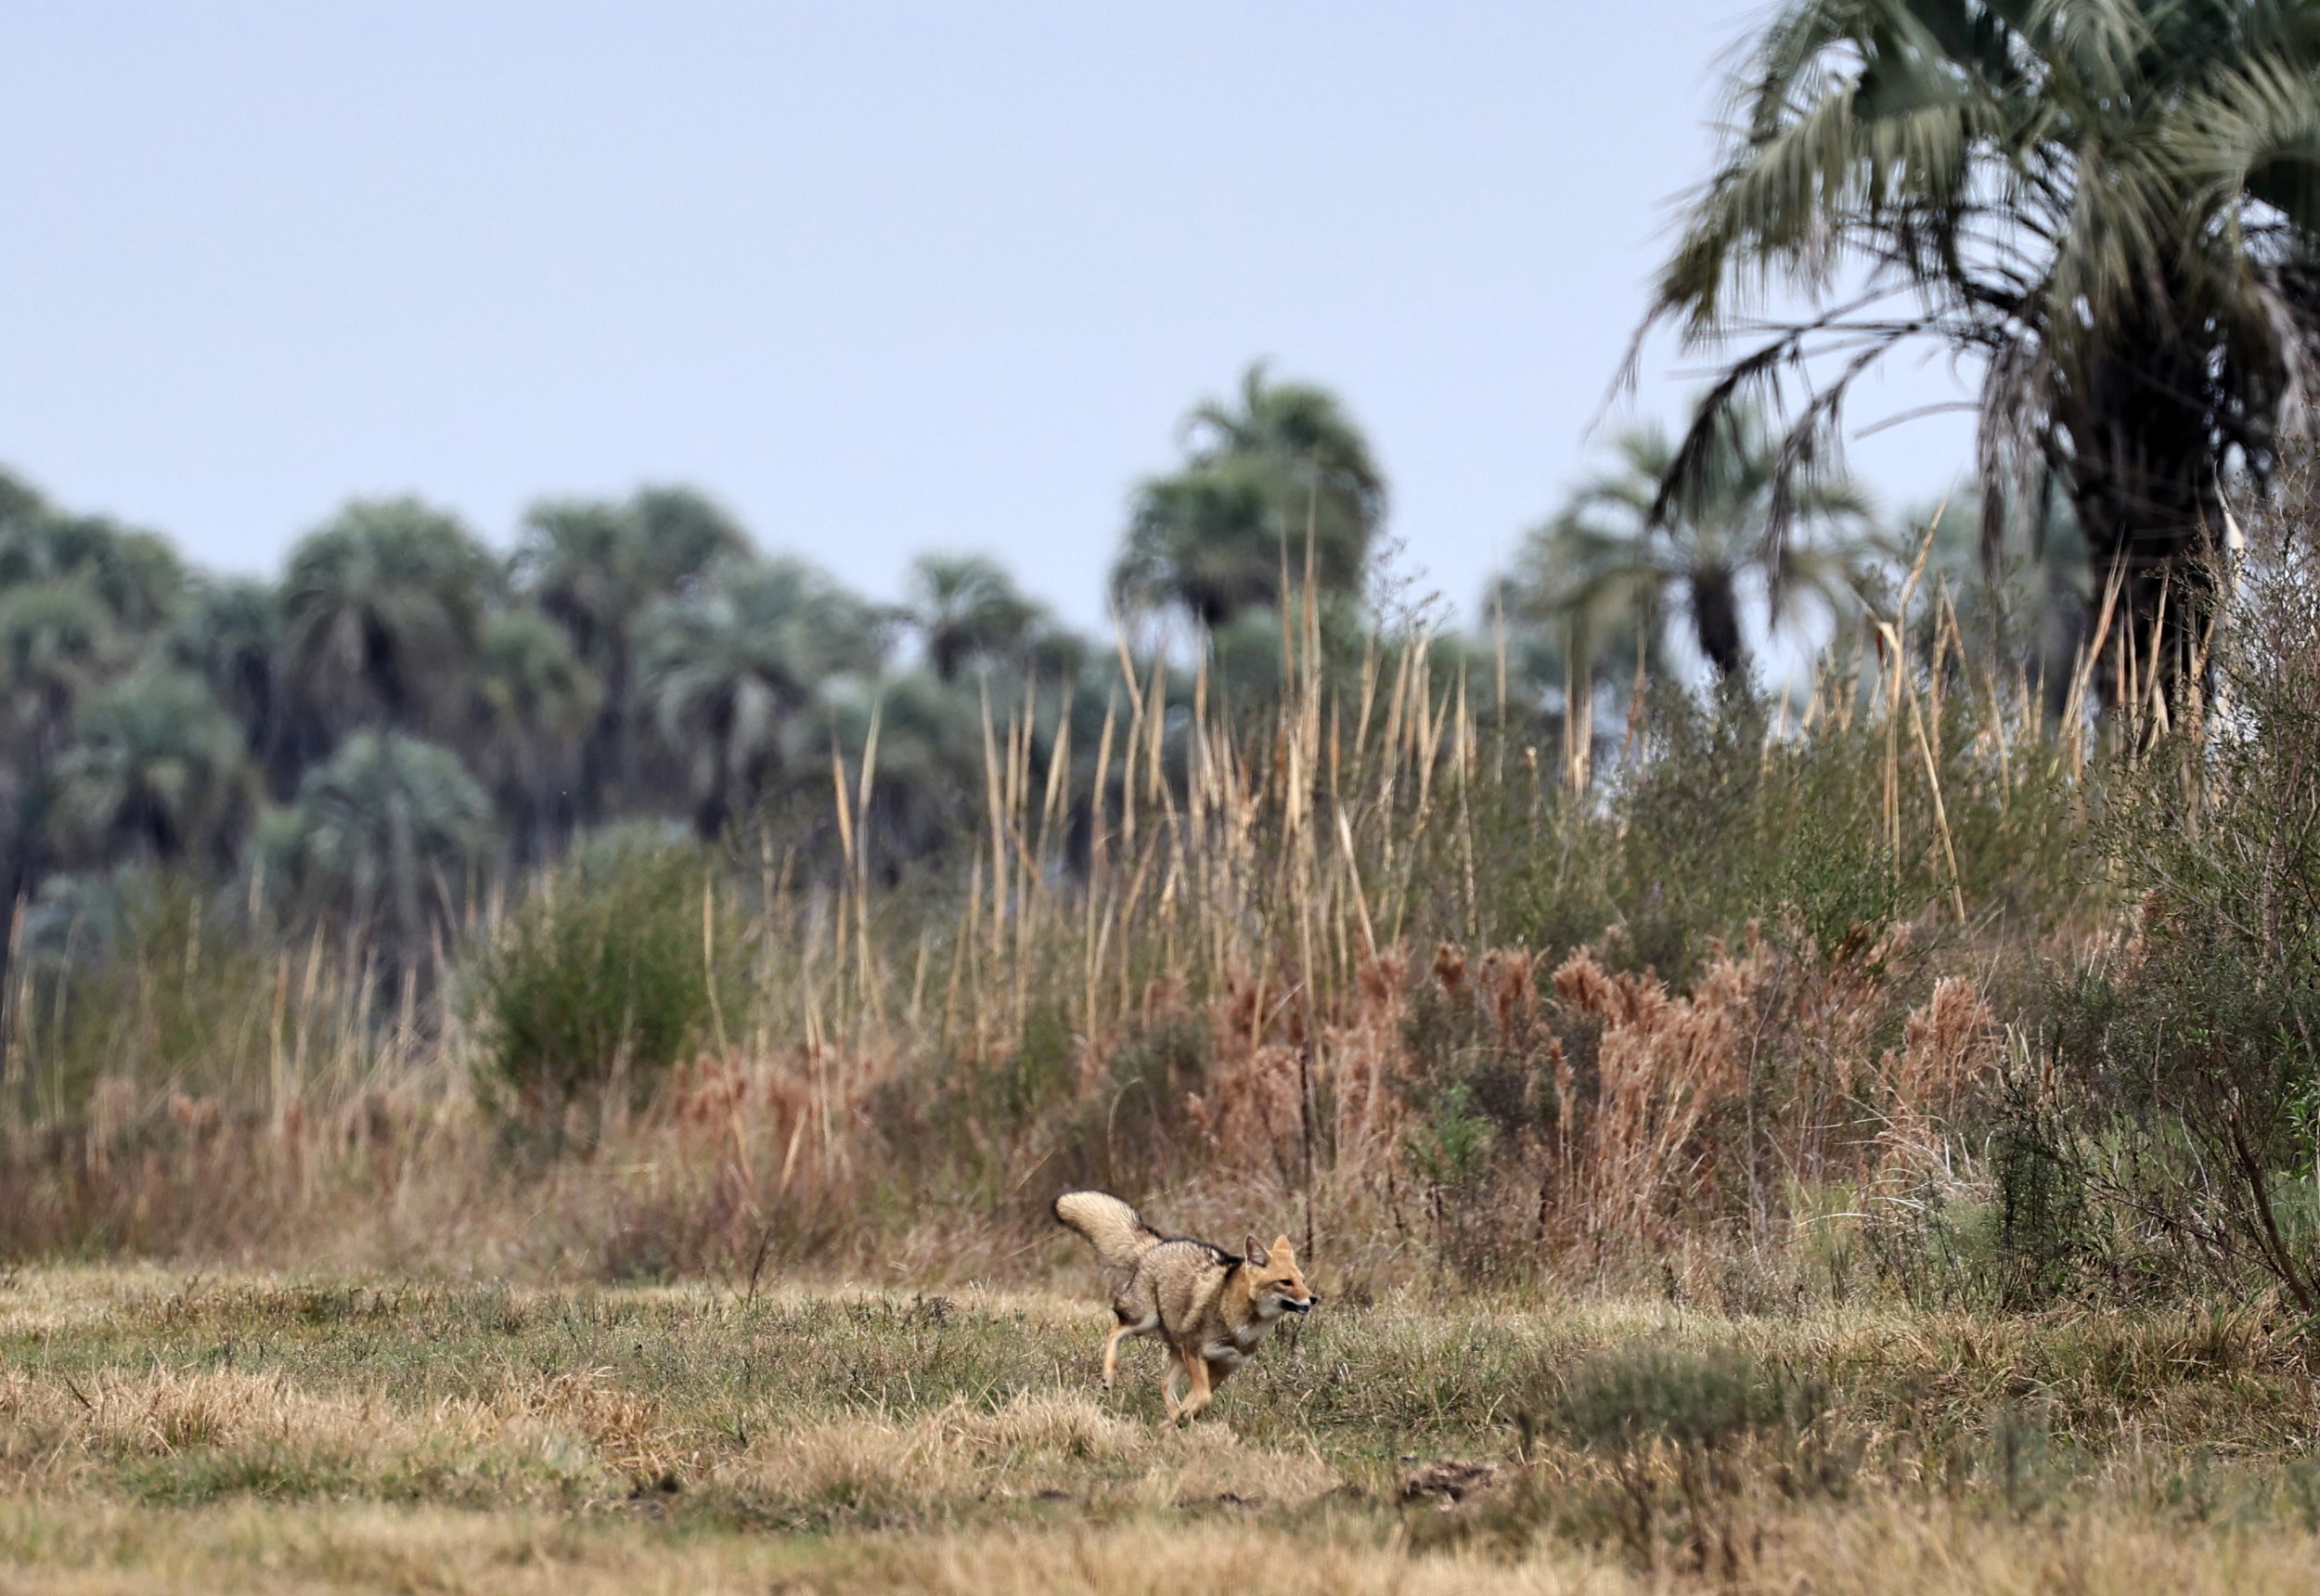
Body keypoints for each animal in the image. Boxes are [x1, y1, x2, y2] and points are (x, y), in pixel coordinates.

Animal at [1051, 1188, 1317, 1422]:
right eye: (1285, 1282)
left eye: (1303, 1281)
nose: (1314, 1299)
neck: (1242, 1325)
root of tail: (1158, 1244)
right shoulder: (1196, 1351)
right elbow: (1203, 1398)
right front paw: (1179, 1420)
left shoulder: (1224, 1367)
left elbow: (1198, 1400)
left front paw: (1177, 1421)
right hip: (1146, 1323)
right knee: (1115, 1332)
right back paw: (1109, 1376)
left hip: (1177, 1351)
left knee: (1164, 1384)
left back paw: (1172, 1417)